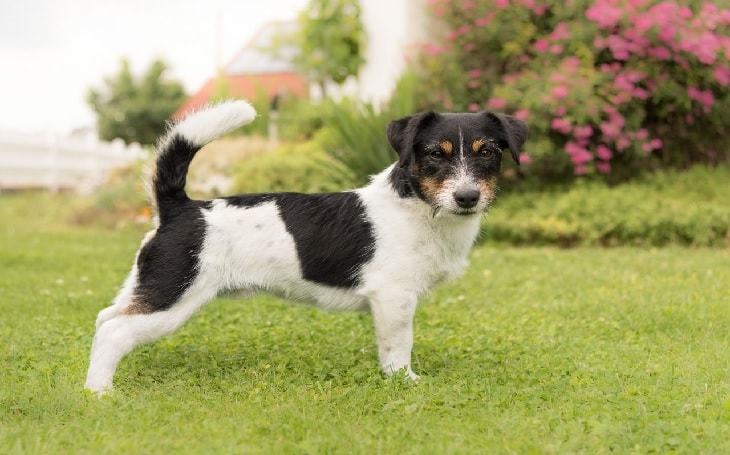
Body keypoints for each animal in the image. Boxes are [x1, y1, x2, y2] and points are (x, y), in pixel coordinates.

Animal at [85, 101, 528, 394]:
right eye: (436, 154)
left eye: (488, 152)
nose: (468, 197)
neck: (416, 204)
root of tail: (179, 207)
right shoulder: (394, 298)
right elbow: (398, 346)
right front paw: (404, 381)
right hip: (172, 296)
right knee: (115, 332)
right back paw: (99, 394)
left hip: (149, 286)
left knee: (105, 319)